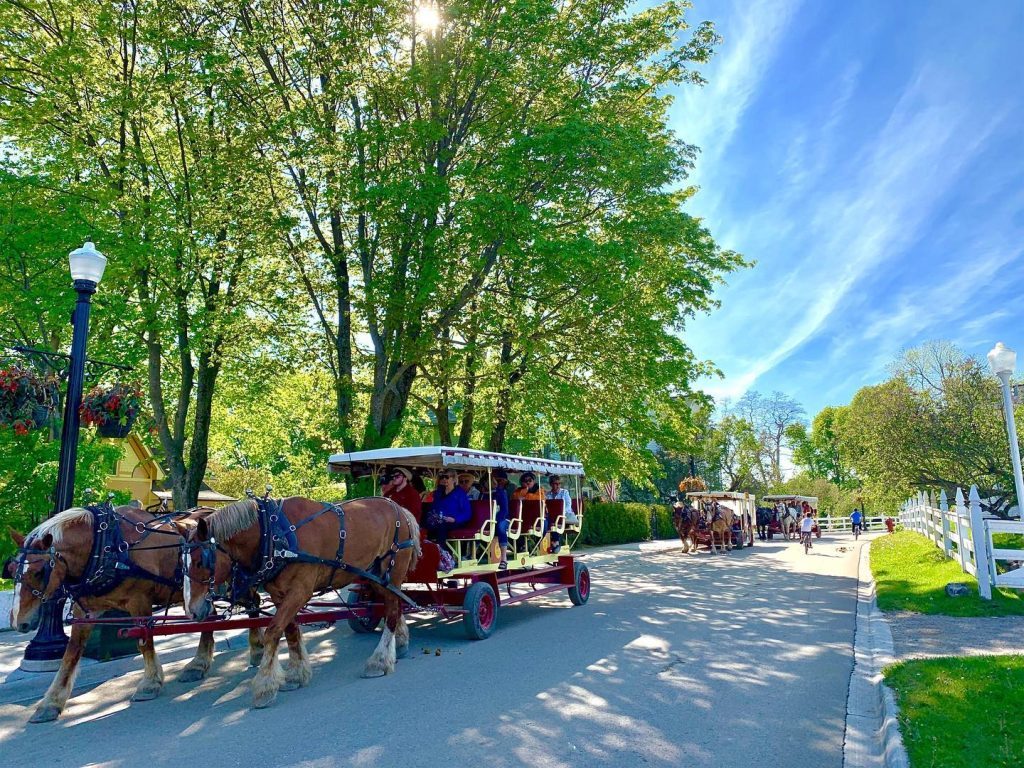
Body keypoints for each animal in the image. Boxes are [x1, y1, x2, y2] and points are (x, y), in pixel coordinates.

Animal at [8, 507, 264, 724]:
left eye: (39, 572)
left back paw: (256, 649)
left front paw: (149, 683)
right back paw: (198, 665)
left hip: (234, 581)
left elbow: (145, 643)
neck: (106, 547)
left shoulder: (140, 601)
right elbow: (71, 654)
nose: (19, 622)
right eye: (11, 570)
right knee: (209, 616)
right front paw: (51, 702)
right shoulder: (86, 611)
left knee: (253, 602)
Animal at [184, 499, 419, 708]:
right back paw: (400, 644)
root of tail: (400, 509)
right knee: (395, 606)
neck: (273, 534)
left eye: (200, 562)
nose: (192, 612)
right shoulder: (280, 595)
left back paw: (380, 660)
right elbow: (290, 631)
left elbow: (273, 631)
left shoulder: (300, 591)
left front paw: (264, 687)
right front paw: (296, 675)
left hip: (391, 571)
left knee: (391, 611)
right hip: (375, 577)